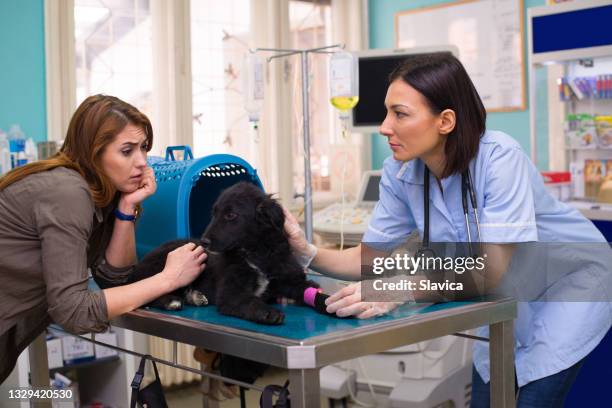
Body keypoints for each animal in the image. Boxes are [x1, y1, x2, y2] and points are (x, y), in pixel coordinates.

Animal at [131, 182, 318, 326]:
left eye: (230, 215)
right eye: (214, 213)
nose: (204, 242)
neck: (255, 253)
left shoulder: (286, 276)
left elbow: (304, 286)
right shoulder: (231, 293)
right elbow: (250, 300)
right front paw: (268, 312)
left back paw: (194, 296)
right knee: (148, 289)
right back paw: (171, 301)